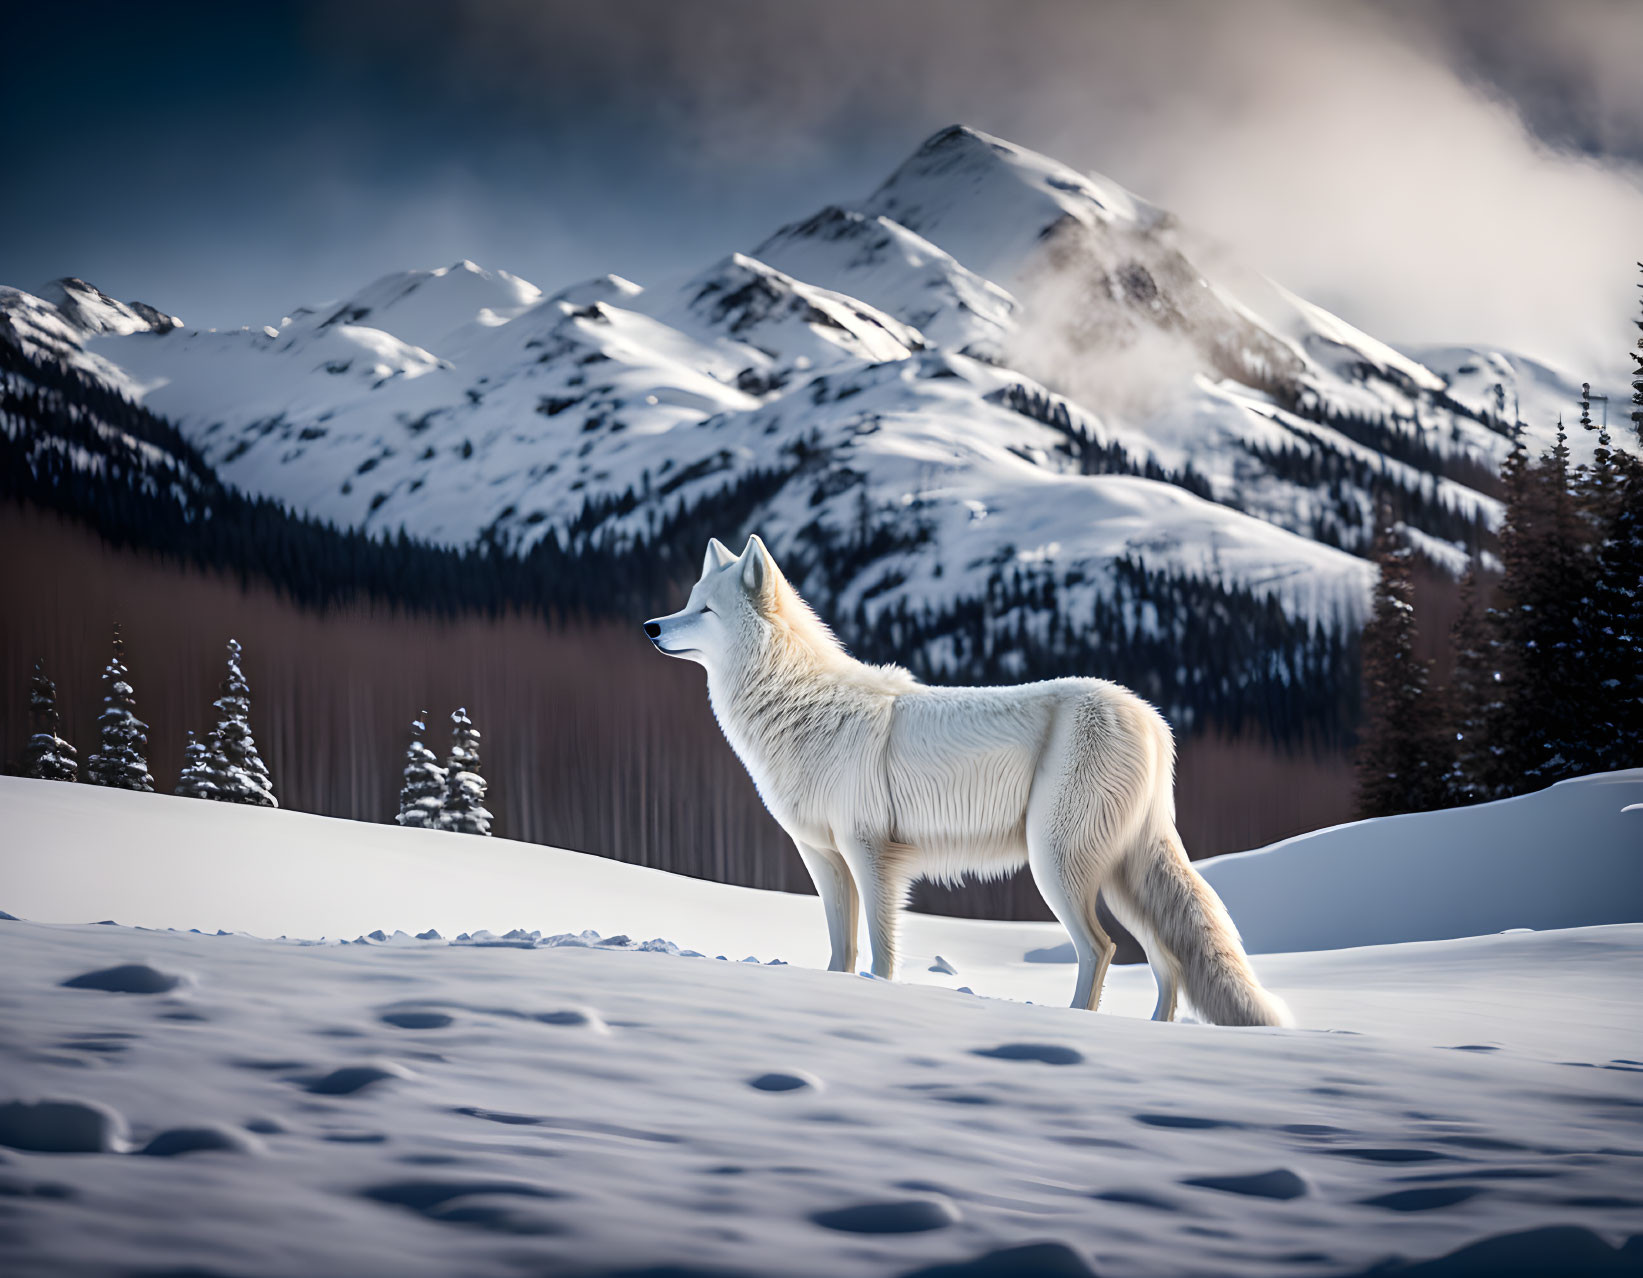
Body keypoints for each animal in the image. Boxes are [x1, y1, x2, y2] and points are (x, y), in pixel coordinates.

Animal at [647, 532, 1288, 1018]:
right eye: (689, 600)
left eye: (705, 611)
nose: (651, 626)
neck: (802, 706)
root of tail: (1151, 718)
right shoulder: (824, 860)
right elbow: (841, 953)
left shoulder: (870, 856)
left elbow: (880, 956)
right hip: (1119, 879)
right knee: (1167, 959)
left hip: (1058, 868)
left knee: (1101, 949)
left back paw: (1077, 1023)